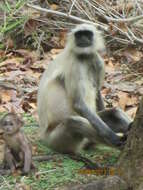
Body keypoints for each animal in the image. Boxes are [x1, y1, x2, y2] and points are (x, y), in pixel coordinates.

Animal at [37, 23, 132, 154]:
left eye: (87, 34)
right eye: (79, 35)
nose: (82, 39)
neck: (84, 57)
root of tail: (43, 136)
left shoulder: (97, 60)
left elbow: (97, 92)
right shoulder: (74, 63)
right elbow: (79, 104)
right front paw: (114, 138)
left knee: (114, 113)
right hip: (55, 141)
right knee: (73, 122)